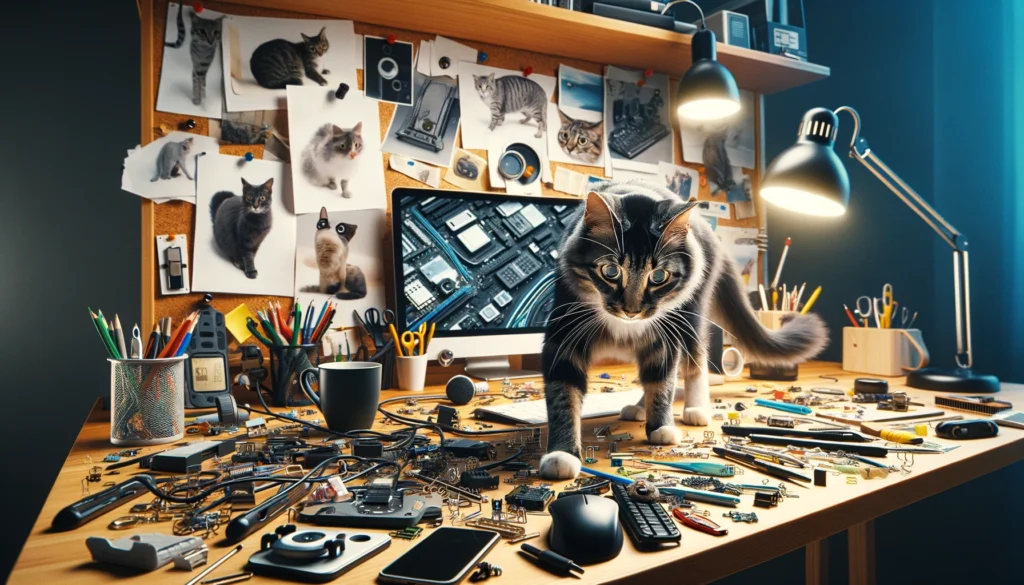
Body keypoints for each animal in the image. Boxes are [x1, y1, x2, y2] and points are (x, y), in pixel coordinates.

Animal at [540, 183, 827, 481]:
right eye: (610, 271)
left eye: (659, 277)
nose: (632, 310)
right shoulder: (565, 332)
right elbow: (563, 394)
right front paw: (561, 454)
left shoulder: (665, 335)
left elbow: (662, 382)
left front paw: (660, 427)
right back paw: (639, 407)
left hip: (691, 314)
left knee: (695, 361)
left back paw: (695, 408)